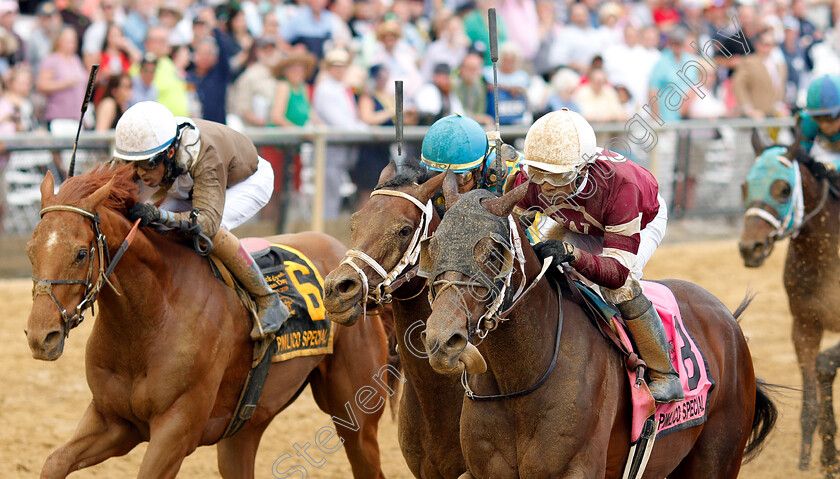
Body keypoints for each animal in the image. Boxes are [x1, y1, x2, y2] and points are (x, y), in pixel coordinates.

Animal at [23, 166, 390, 479]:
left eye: (81, 253)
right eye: (30, 250)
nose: (41, 337)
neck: (149, 320)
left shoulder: (176, 430)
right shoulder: (114, 420)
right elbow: (55, 462)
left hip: (355, 416)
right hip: (245, 426)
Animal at [424, 172, 776, 479]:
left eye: (494, 253)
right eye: (434, 246)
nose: (442, 341)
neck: (519, 383)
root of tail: (727, 317)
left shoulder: (576, 470)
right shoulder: (479, 471)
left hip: (718, 456)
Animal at [740, 135, 840, 476]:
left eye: (783, 189)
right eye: (744, 186)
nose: (750, 247)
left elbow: (825, 363)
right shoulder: (804, 326)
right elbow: (810, 399)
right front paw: (814, 459)